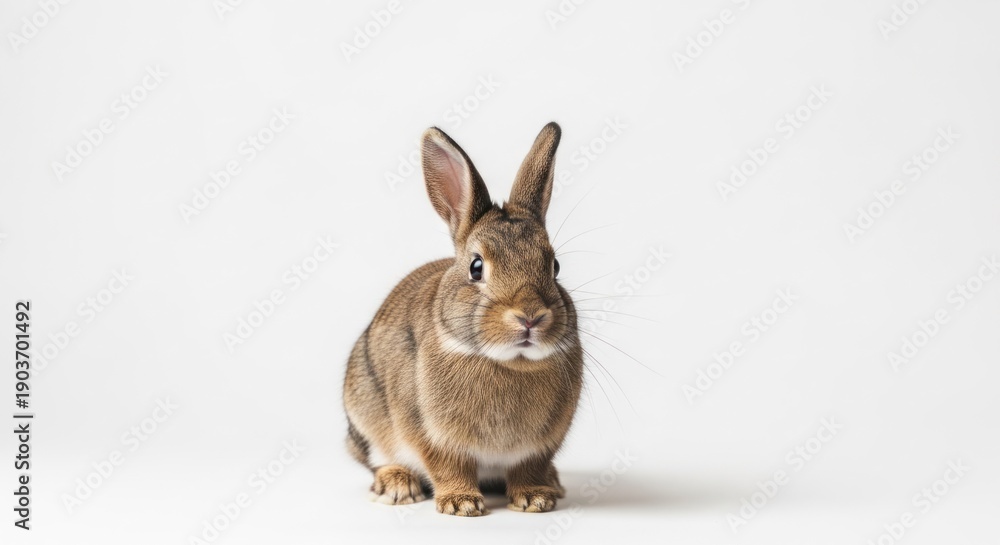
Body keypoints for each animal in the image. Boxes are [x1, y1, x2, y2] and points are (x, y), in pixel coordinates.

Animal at [343, 122, 583, 516]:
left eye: (555, 266)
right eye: (476, 267)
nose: (530, 317)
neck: (508, 363)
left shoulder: (540, 445)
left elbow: (528, 468)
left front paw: (535, 498)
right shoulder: (432, 436)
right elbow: (448, 466)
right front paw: (461, 504)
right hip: (365, 412)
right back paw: (397, 487)